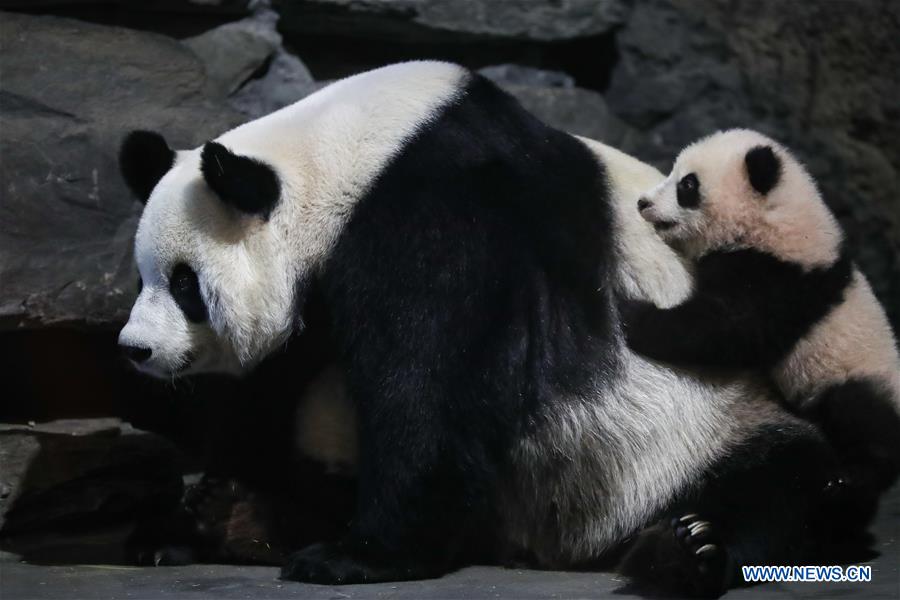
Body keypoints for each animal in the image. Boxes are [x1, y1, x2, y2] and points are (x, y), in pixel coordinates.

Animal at [116, 61, 856, 596]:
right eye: (143, 275)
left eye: (185, 285)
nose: (136, 350)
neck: (339, 153)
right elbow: (266, 395)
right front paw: (188, 523)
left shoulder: (436, 210)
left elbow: (426, 382)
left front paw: (358, 555)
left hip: (696, 428)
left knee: (785, 483)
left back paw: (690, 548)